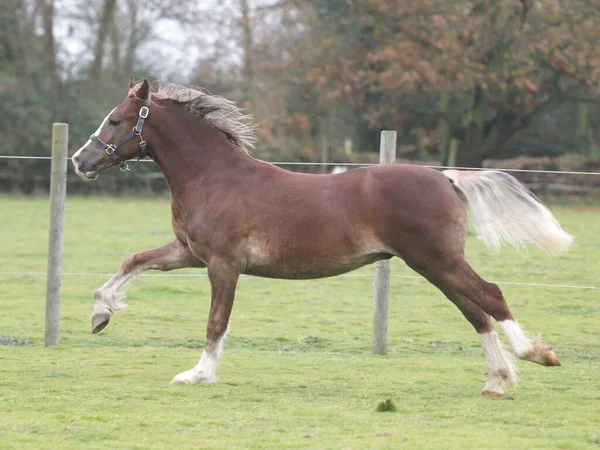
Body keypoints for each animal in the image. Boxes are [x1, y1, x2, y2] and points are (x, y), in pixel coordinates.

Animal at [72, 79, 576, 396]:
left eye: (116, 120)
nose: (80, 161)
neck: (213, 177)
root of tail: (446, 177)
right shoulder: (189, 253)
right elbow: (133, 261)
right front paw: (101, 314)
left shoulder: (222, 264)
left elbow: (216, 322)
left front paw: (197, 375)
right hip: (434, 265)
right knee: (474, 310)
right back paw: (496, 380)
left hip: (436, 260)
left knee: (490, 295)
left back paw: (536, 356)